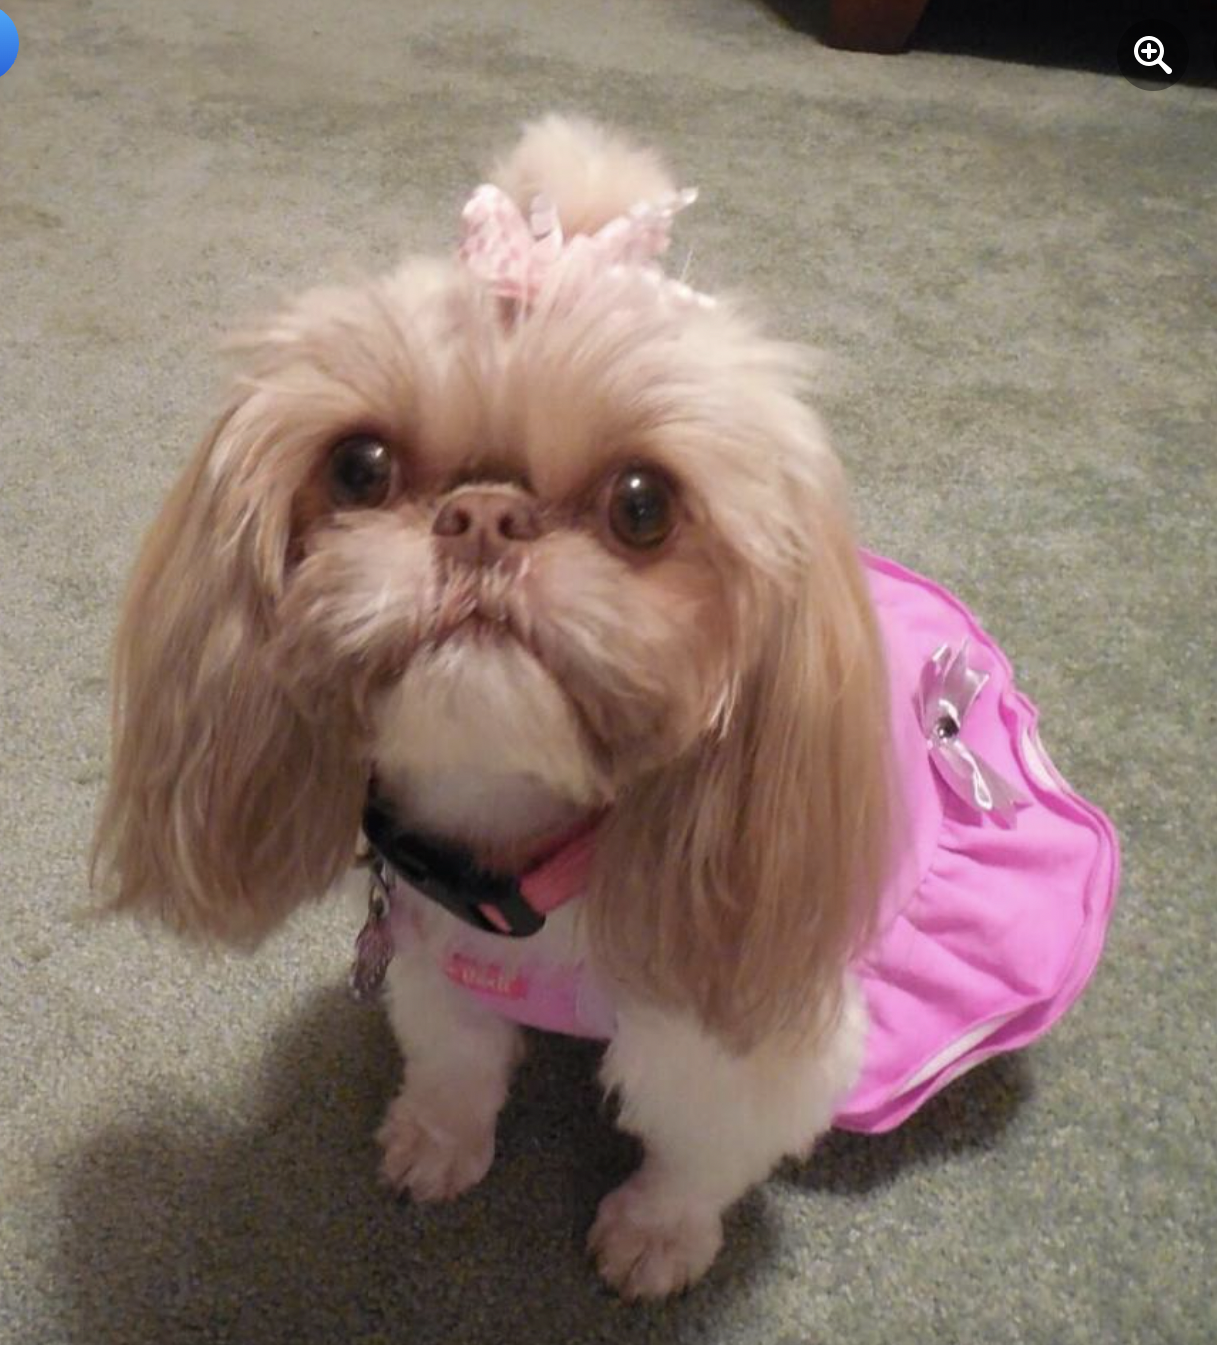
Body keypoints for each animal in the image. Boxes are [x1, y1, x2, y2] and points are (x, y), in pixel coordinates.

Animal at [92, 116, 894, 1298]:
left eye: (641, 504)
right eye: (361, 465)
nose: (480, 515)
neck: (519, 856)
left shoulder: (736, 1044)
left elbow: (695, 1150)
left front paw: (656, 1235)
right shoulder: (430, 952)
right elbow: (456, 1060)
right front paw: (437, 1140)